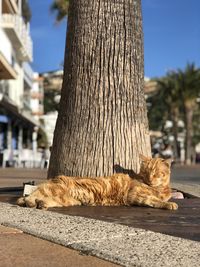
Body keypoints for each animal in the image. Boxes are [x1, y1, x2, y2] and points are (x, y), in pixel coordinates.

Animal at [16, 155, 177, 211]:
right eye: (146, 172)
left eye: (155, 173)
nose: (149, 179)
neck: (161, 189)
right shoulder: (136, 195)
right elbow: (154, 200)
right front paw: (169, 204)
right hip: (54, 190)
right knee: (30, 196)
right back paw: (31, 202)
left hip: (66, 200)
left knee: (43, 199)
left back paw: (41, 204)